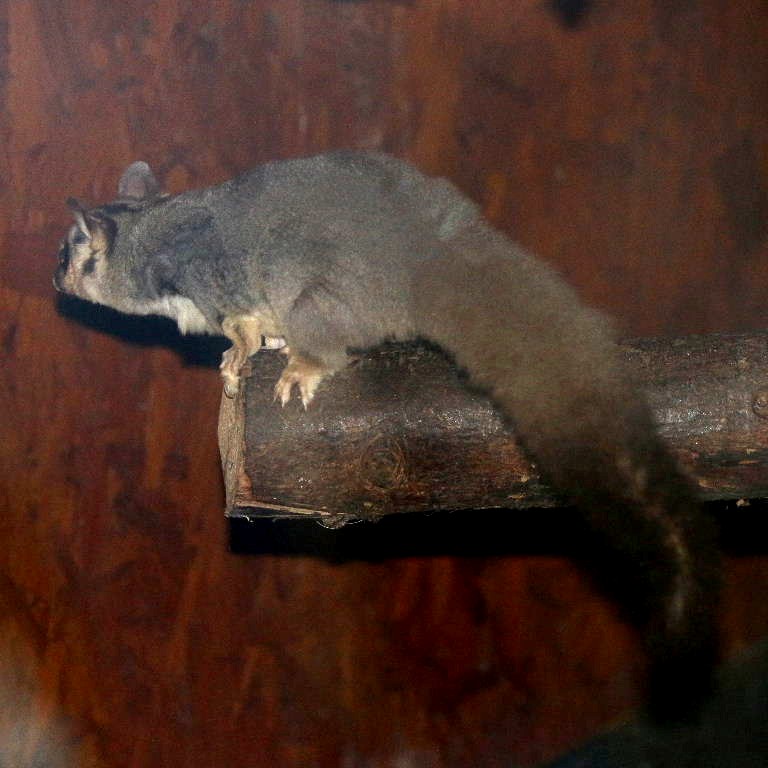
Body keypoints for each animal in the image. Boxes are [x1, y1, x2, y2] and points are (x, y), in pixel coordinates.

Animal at [53, 150, 720, 718]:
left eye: (65, 256)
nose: (56, 282)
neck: (144, 228)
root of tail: (424, 254)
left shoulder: (204, 274)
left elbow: (240, 318)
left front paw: (242, 354)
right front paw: (259, 344)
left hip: (336, 296)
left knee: (315, 317)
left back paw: (306, 360)